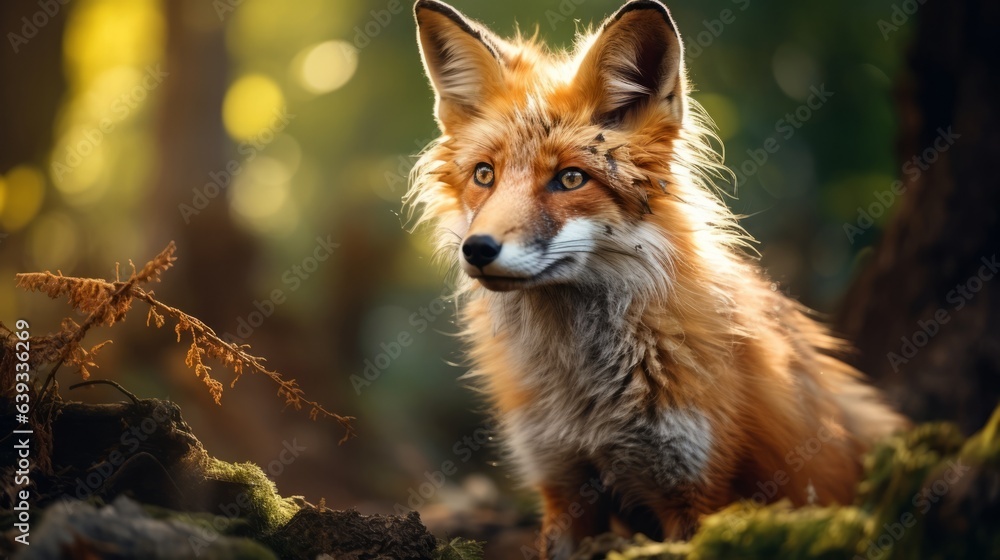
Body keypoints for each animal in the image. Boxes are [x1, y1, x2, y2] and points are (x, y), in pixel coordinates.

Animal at [406, 0, 909, 557]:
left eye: (570, 179)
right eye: (485, 175)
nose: (478, 250)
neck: (585, 398)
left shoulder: (695, 491)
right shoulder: (562, 485)